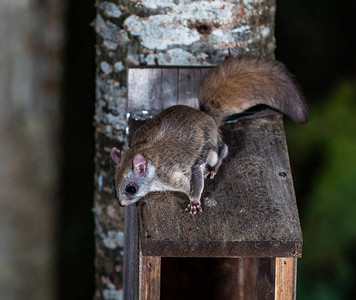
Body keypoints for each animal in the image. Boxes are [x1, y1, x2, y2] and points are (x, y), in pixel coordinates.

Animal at [110, 55, 308, 214]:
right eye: (114, 183)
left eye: (131, 189)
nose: (122, 204)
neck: (149, 160)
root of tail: (208, 116)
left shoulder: (176, 173)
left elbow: (195, 182)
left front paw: (194, 202)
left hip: (210, 149)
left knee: (222, 150)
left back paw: (213, 169)